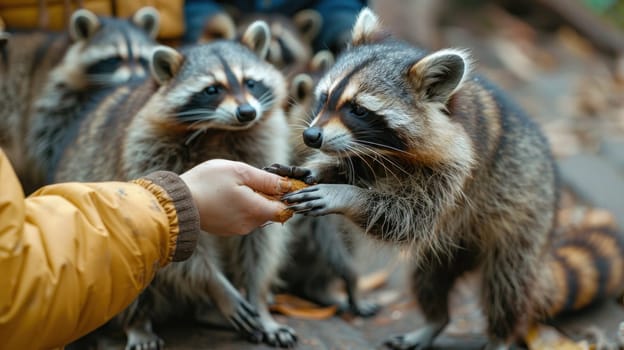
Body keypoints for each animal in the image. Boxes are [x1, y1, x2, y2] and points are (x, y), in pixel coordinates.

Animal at [53, 21, 294, 350]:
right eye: (212, 89)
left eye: (251, 83)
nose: (247, 113)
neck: (219, 131)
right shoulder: (146, 147)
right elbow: (184, 245)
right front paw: (217, 286)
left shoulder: (260, 147)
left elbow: (259, 243)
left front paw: (258, 297)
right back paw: (138, 322)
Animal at [268, 8, 624, 350]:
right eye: (324, 97)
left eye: (358, 110)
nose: (311, 136)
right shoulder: (371, 154)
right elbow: (360, 172)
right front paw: (320, 171)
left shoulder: (460, 167)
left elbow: (407, 217)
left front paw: (341, 194)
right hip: (451, 247)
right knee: (429, 277)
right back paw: (435, 321)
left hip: (524, 223)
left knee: (506, 285)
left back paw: (500, 336)